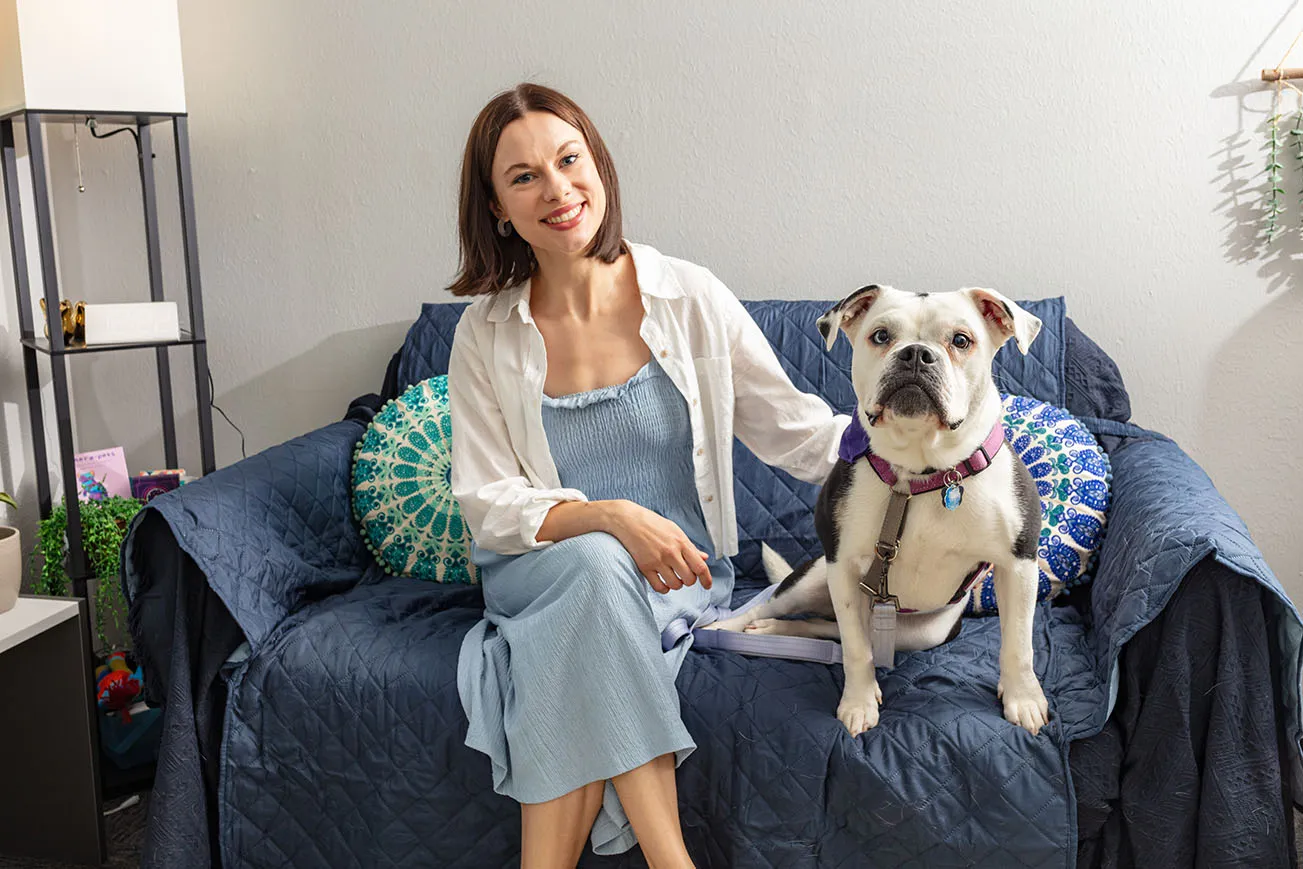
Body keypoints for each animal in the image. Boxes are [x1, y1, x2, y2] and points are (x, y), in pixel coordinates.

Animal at [708, 289, 1052, 740]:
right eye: (881, 335)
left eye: (961, 340)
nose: (917, 354)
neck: (920, 474)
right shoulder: (842, 567)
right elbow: (856, 651)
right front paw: (858, 703)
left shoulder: (1018, 565)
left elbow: (1018, 645)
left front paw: (1023, 698)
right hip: (815, 579)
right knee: (789, 613)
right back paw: (728, 630)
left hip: (925, 632)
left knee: (827, 629)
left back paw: (775, 634)